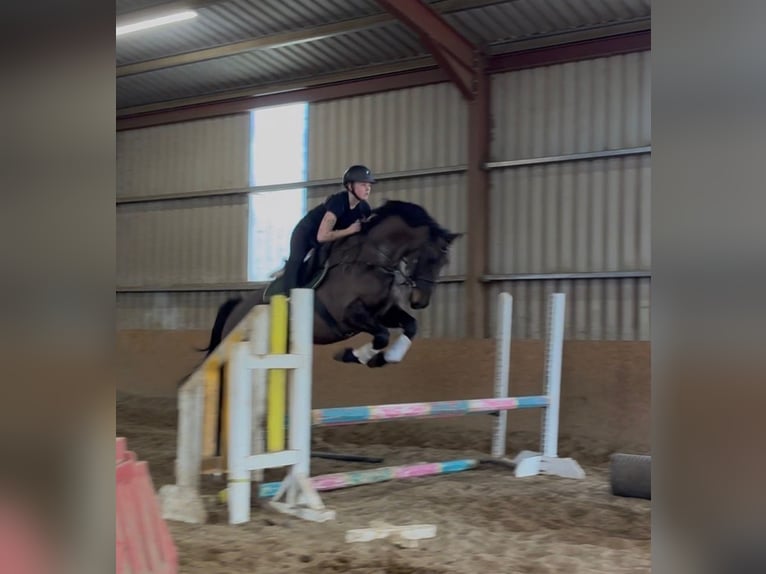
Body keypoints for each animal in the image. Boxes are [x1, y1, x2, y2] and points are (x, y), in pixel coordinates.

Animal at [200, 200, 461, 368]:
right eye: (429, 258)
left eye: (444, 263)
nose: (420, 301)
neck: (370, 262)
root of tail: (237, 309)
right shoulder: (349, 315)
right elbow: (382, 335)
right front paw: (352, 356)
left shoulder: (383, 312)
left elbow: (410, 326)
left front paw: (384, 359)